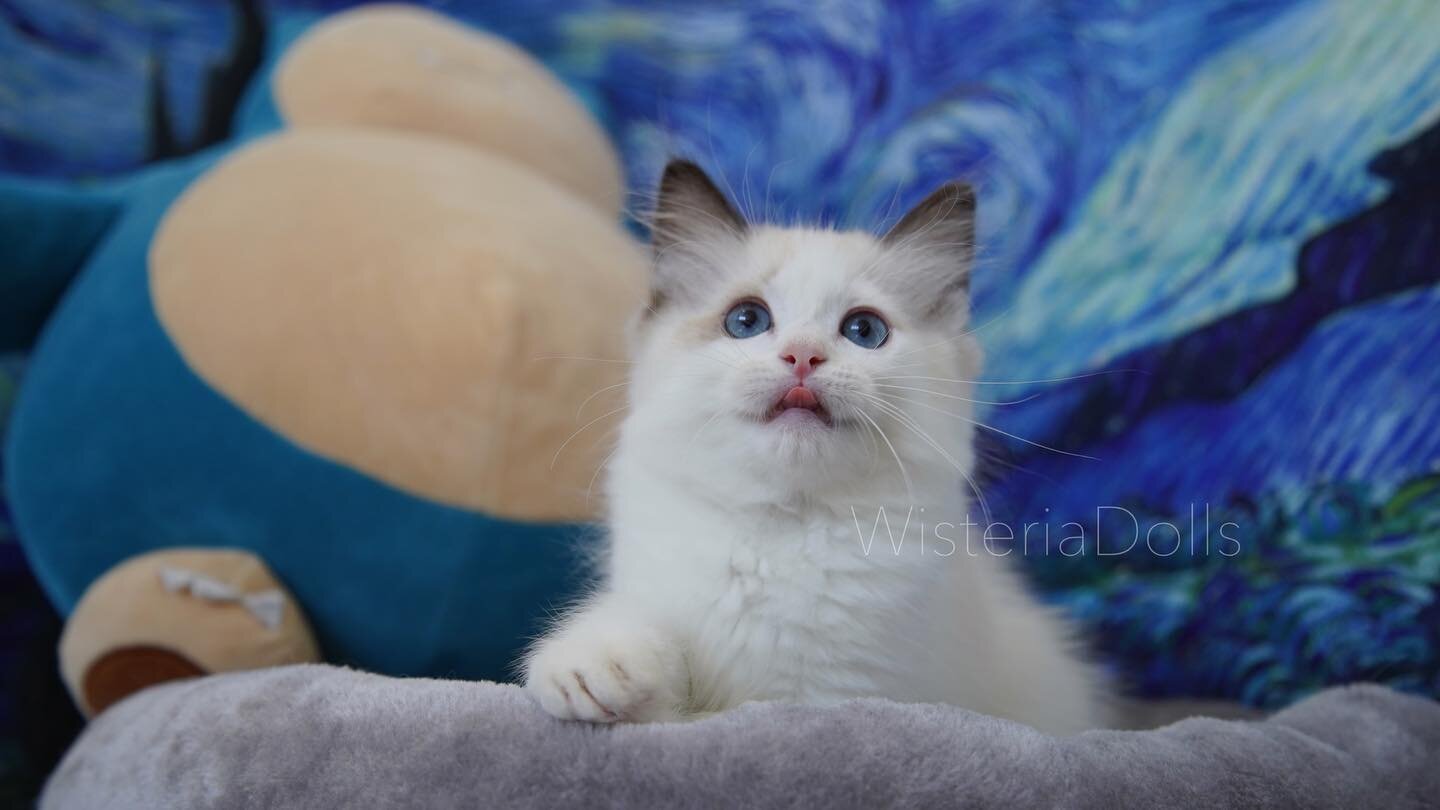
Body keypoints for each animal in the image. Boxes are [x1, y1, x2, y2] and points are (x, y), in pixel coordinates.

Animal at [524, 159, 1105, 732]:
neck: (781, 529)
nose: (803, 356)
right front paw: (592, 671)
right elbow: (646, 645)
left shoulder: (835, 696)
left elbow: (713, 717)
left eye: (864, 330)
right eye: (747, 321)